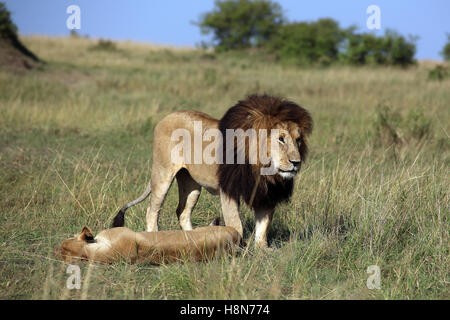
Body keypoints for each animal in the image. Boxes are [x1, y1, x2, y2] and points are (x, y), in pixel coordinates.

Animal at [111, 94, 312, 246]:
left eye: (298, 140)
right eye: (281, 139)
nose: (296, 162)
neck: (263, 170)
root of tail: (166, 117)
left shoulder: (266, 194)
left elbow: (263, 227)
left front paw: (262, 250)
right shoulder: (228, 191)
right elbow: (236, 224)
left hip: (191, 184)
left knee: (183, 212)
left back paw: (193, 240)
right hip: (163, 174)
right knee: (152, 210)